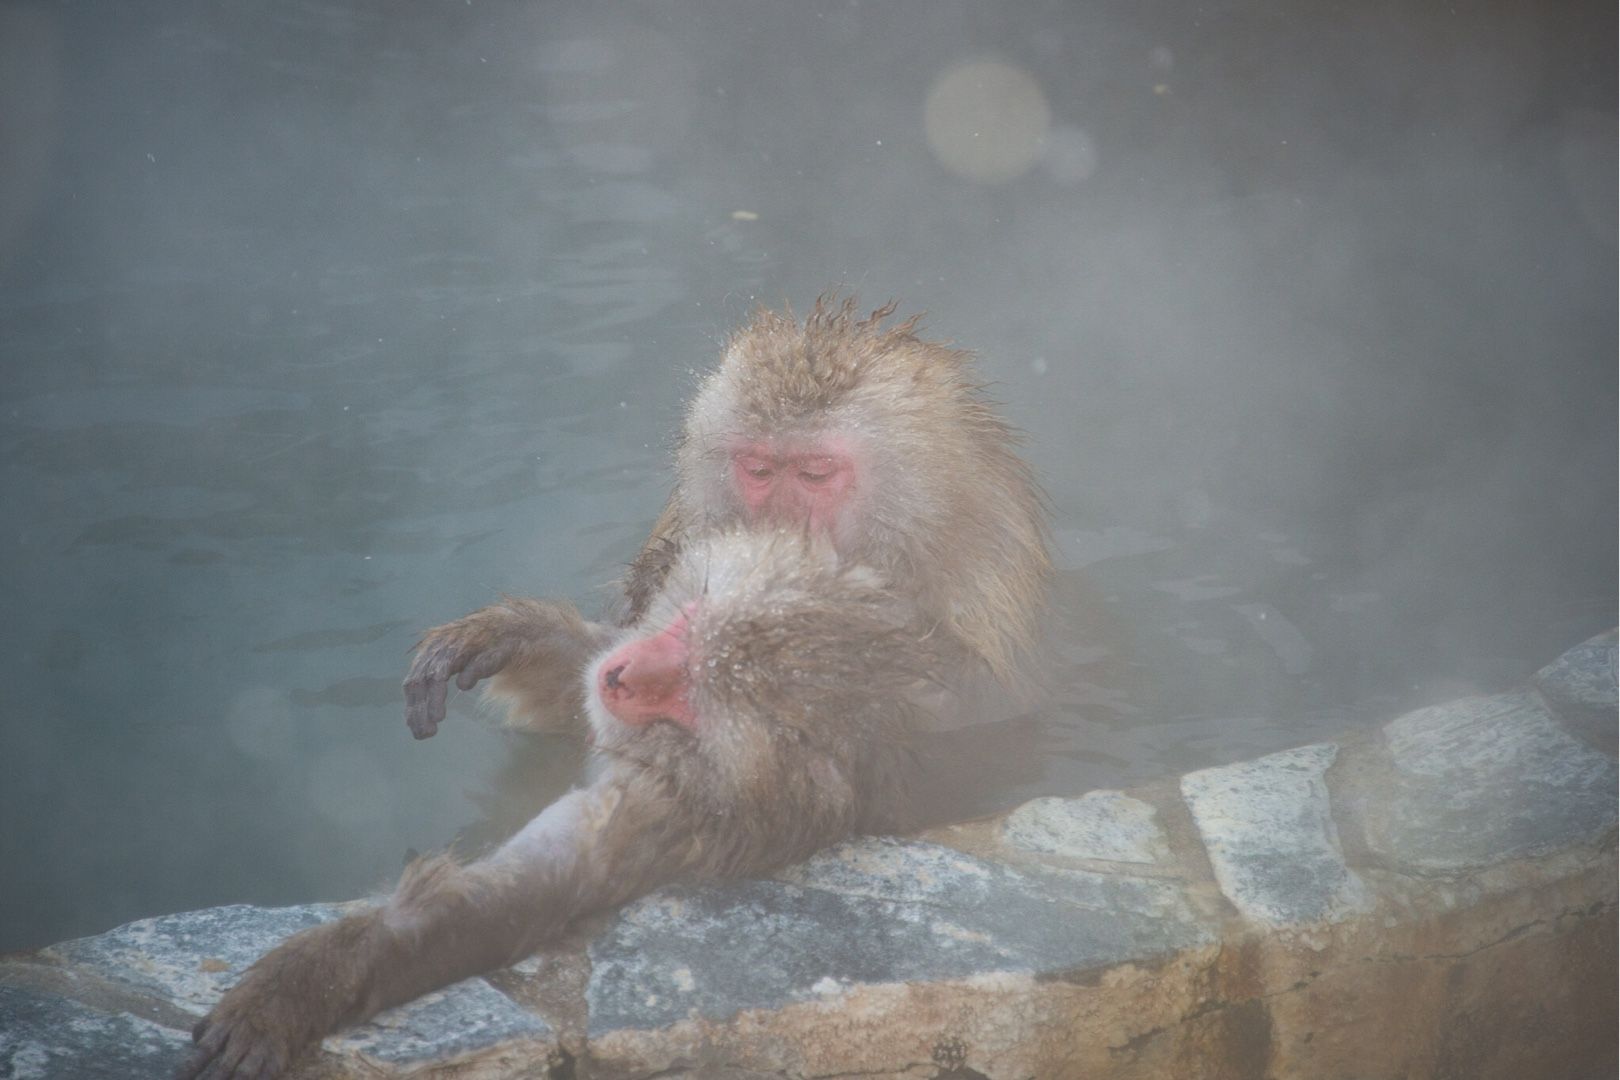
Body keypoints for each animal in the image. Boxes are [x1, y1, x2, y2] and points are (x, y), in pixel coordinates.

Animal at [180, 531, 939, 1080]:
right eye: (687, 629)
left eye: (695, 687)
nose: (624, 677)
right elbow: (574, 691)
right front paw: (508, 633)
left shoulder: (667, 812)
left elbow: (494, 906)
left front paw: (295, 991)